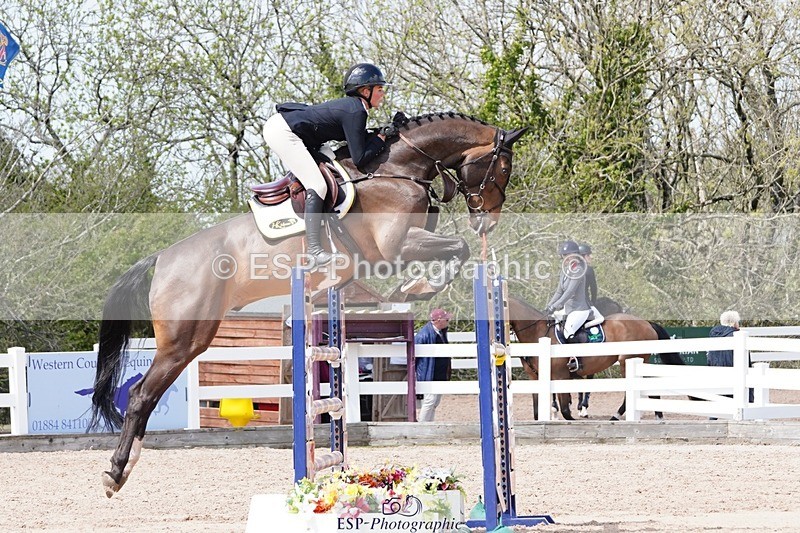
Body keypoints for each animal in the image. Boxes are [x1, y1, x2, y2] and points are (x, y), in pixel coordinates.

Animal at [90, 113, 527, 497]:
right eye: (503, 168)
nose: (487, 221)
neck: (399, 168)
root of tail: (162, 258)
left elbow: (456, 249)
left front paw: (415, 285)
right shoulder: (395, 247)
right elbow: (459, 247)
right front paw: (418, 286)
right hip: (184, 338)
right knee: (142, 395)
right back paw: (115, 473)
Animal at [507, 296, 683, 421]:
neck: (537, 333)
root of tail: (646, 323)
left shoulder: (560, 375)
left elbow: (566, 411)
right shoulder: (535, 377)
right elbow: (538, 412)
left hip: (627, 361)